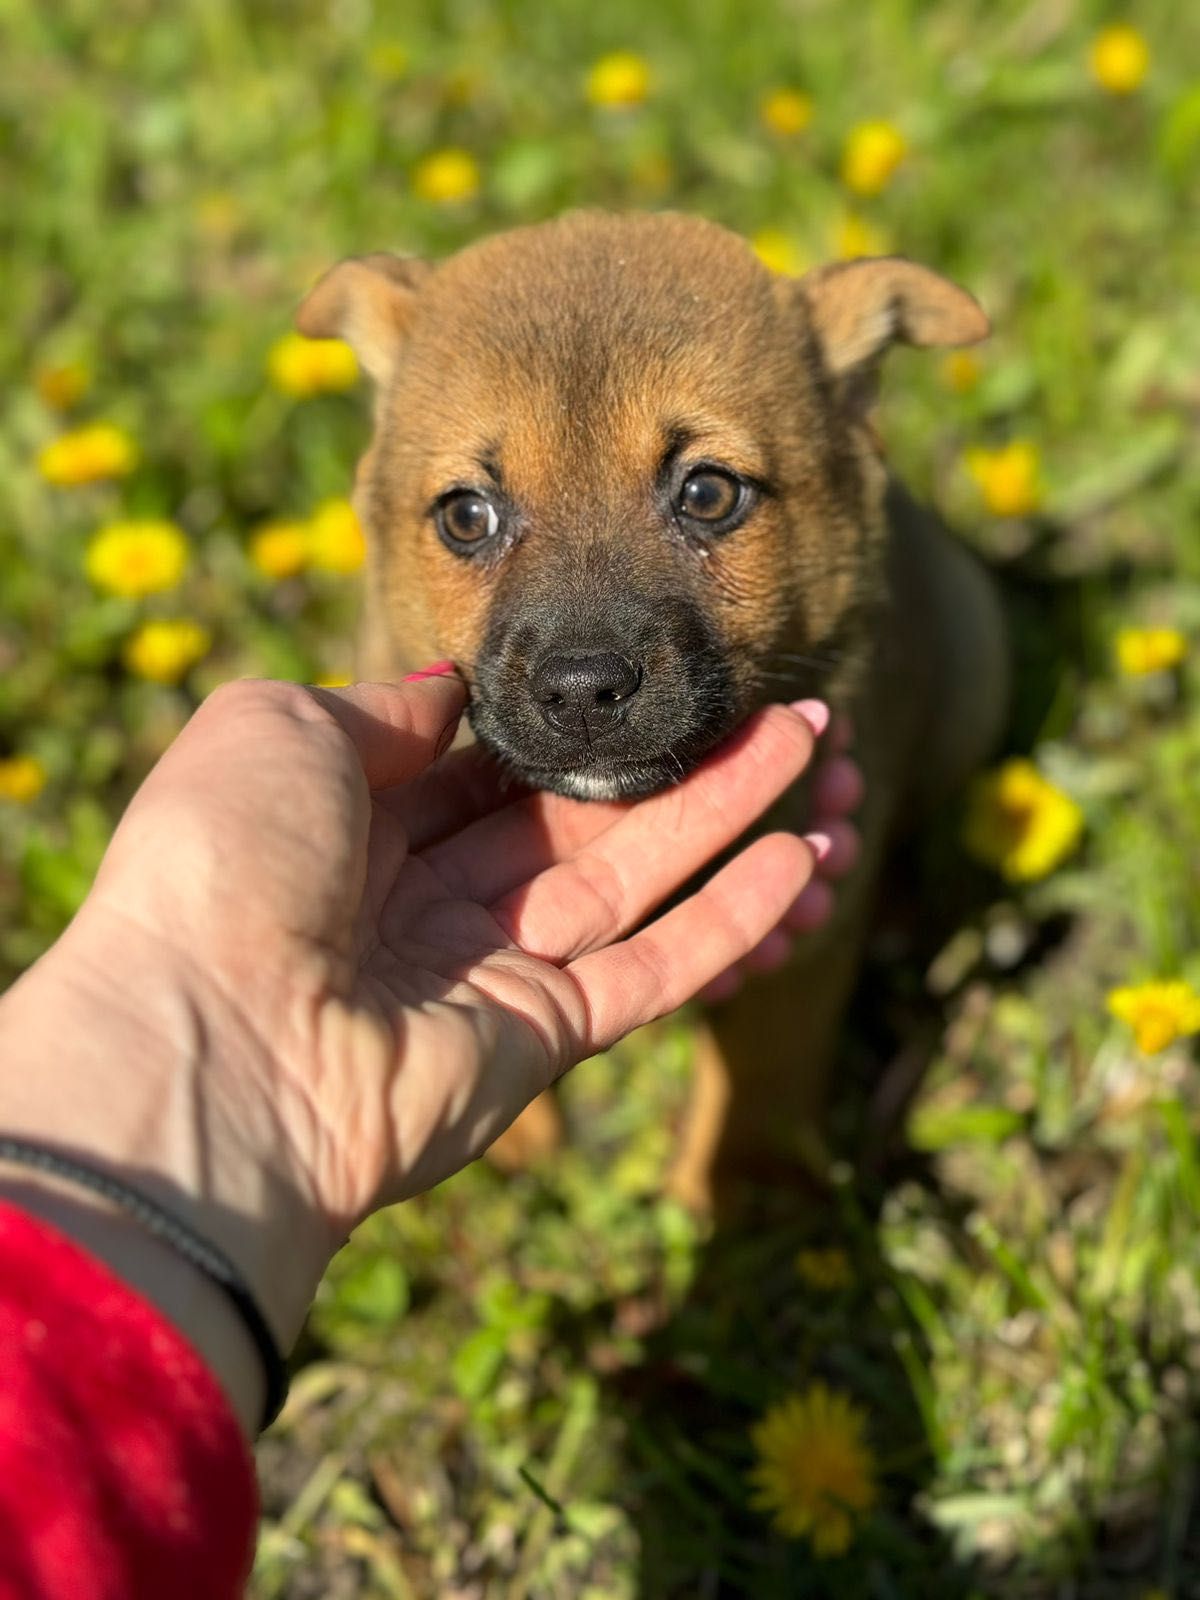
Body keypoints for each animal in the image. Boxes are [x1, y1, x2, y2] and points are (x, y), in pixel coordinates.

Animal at [296, 212, 1011, 1209]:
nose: (583, 691)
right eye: (467, 516)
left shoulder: (805, 907)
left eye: (708, 493)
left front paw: (745, 1196)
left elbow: (768, 1067)